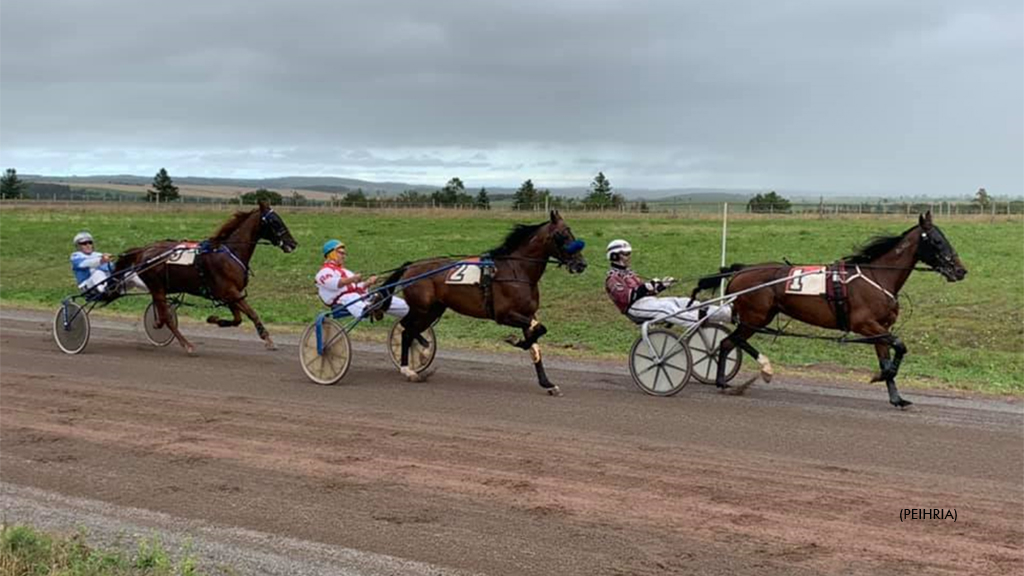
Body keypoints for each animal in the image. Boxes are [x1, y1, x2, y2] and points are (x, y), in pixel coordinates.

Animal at [117, 199, 299, 352]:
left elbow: (238, 319)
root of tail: (144, 250)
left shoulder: (230, 294)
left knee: (162, 316)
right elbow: (252, 313)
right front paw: (268, 340)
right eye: (275, 221)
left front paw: (214, 319)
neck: (230, 253)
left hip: (159, 289)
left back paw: (160, 325)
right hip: (157, 288)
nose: (292, 243)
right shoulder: (229, 291)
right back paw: (187, 345)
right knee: (167, 318)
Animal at [378, 211, 589, 393]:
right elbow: (539, 330)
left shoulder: (528, 315)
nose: (581, 264)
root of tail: (411, 266)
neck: (517, 270)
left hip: (433, 310)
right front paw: (515, 340)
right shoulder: (504, 315)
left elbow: (536, 342)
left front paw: (547, 383)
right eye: (562, 235)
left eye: (570, 231)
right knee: (406, 330)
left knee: (411, 330)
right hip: (421, 308)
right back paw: (409, 368)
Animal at [708, 208, 962, 405]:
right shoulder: (864, 324)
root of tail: (740, 271)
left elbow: (887, 357)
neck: (878, 277)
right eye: (937, 240)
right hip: (755, 317)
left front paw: (896, 397)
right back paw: (735, 377)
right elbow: (900, 346)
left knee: (732, 342)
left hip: (759, 317)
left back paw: (741, 375)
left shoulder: (880, 328)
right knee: (729, 342)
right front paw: (880, 376)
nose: (960, 270)